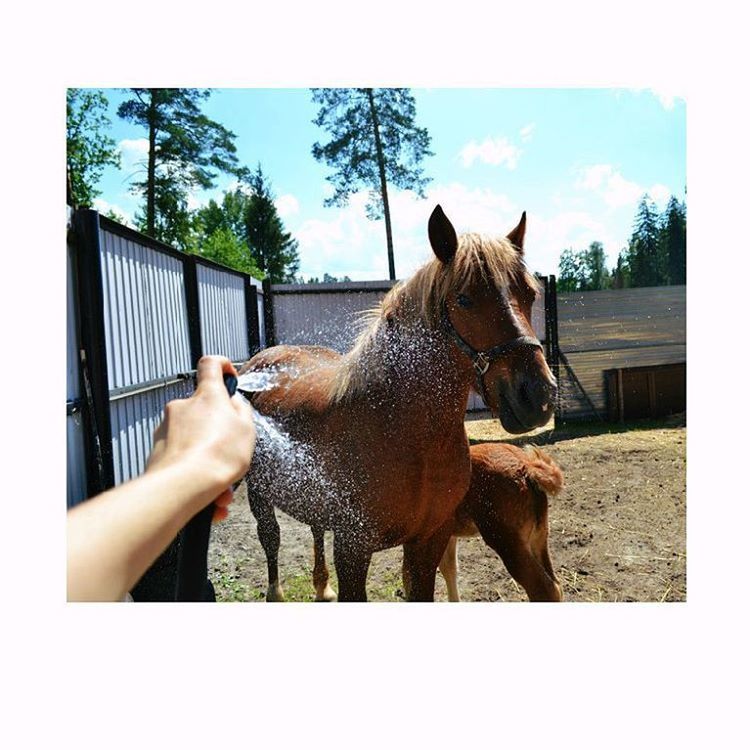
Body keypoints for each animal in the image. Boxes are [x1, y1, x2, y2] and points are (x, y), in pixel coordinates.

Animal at [241, 206, 560, 604]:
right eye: (464, 299)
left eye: (530, 294)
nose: (538, 395)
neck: (404, 433)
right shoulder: (352, 550)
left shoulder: (428, 542)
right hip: (258, 493)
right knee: (270, 539)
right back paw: (276, 592)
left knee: (314, 528)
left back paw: (322, 586)